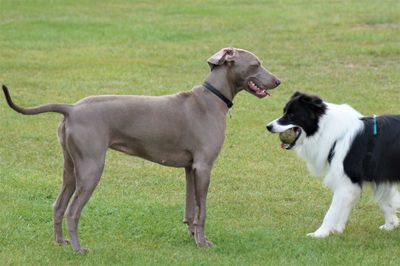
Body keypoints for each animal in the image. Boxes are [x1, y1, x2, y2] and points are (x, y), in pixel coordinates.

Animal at [1, 46, 280, 252]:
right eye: (256, 64)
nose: (278, 81)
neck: (212, 98)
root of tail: (71, 108)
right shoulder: (204, 167)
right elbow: (202, 211)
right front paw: (203, 243)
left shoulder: (191, 168)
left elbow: (191, 208)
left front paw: (192, 237)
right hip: (91, 167)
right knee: (72, 211)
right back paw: (79, 249)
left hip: (71, 166)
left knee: (58, 206)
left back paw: (60, 243)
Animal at [268, 91, 400, 237]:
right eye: (284, 112)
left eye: (291, 115)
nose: (268, 126)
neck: (330, 132)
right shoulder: (378, 176)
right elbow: (386, 203)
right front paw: (390, 225)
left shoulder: (346, 182)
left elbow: (331, 212)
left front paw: (320, 234)